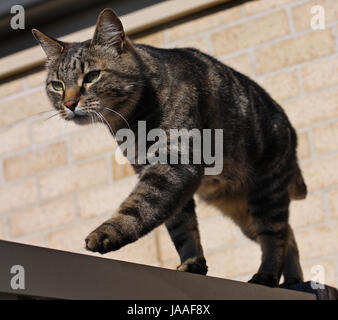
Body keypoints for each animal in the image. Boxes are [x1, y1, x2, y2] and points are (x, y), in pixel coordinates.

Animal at [33, 8, 308, 286]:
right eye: (57, 85)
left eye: (91, 76)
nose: (69, 104)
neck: (130, 122)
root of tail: (291, 130)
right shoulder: (154, 172)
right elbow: (181, 228)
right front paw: (192, 263)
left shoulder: (175, 163)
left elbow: (141, 205)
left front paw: (107, 232)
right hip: (242, 212)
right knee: (290, 236)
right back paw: (294, 281)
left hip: (266, 195)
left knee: (275, 237)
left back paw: (267, 275)